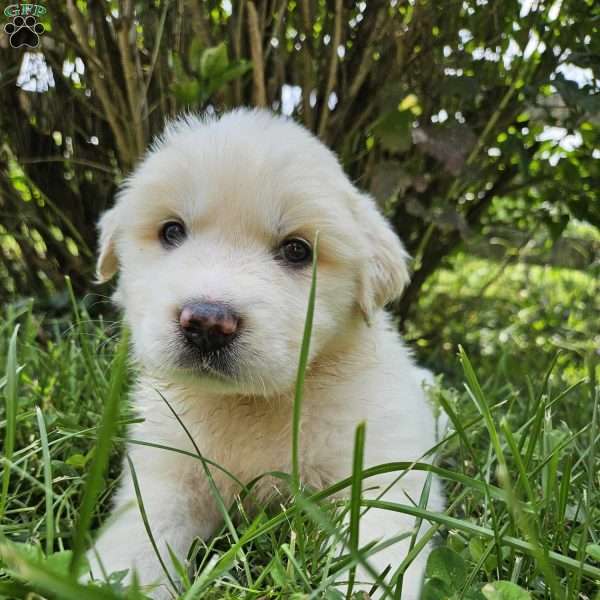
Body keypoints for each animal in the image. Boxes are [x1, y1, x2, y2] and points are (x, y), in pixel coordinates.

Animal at [91, 110, 442, 596]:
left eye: (297, 250)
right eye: (172, 231)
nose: (207, 324)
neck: (252, 403)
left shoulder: (383, 473)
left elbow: (378, 548)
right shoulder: (166, 473)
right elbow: (136, 538)